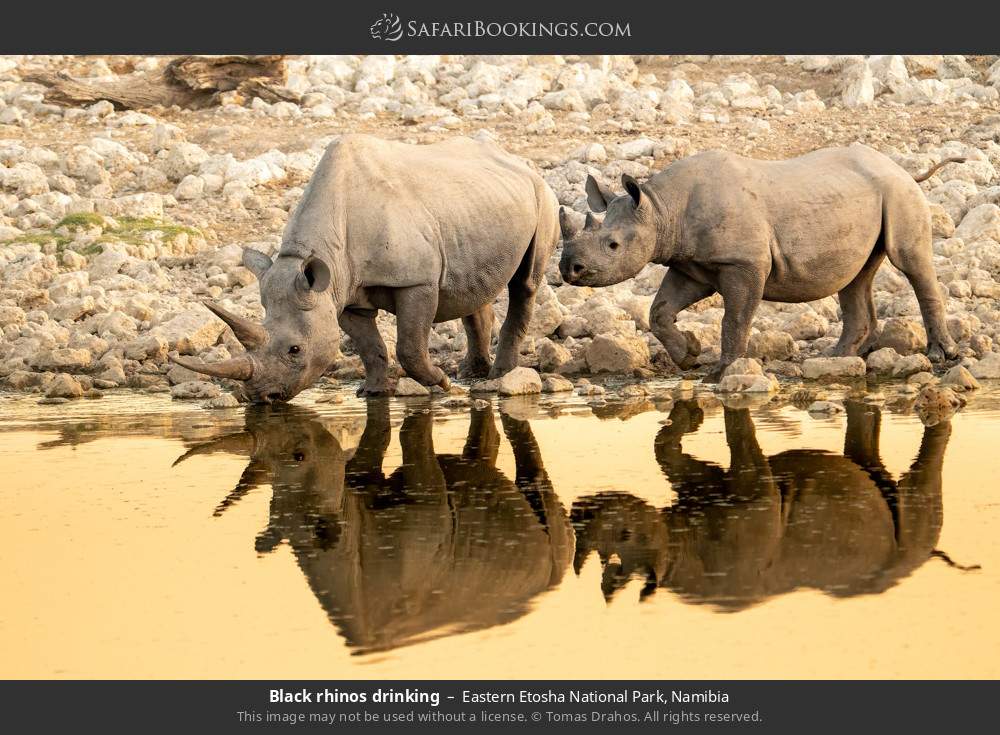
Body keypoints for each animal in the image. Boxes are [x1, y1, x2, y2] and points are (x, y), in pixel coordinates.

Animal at [173, 134, 560, 402]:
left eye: (294, 350)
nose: (261, 398)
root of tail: (519, 161)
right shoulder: (340, 292)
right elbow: (369, 346)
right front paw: (372, 392)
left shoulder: (415, 281)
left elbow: (409, 345)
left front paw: (441, 383)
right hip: (474, 204)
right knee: (473, 287)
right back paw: (471, 373)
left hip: (542, 196)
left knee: (525, 283)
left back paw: (498, 375)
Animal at [559, 144, 964, 380]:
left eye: (613, 245)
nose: (568, 269)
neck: (661, 210)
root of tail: (899, 167)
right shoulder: (690, 264)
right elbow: (659, 310)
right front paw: (689, 355)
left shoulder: (743, 262)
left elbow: (735, 317)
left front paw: (722, 372)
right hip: (866, 197)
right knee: (856, 276)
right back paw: (838, 359)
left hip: (897, 192)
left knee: (909, 261)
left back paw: (940, 355)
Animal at [571, 399, 976, 609]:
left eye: (627, 533)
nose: (580, 509)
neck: (676, 548)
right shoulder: (698, 492)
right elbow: (664, 450)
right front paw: (690, 414)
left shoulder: (755, 493)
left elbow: (737, 439)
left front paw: (692, 413)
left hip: (907, 551)